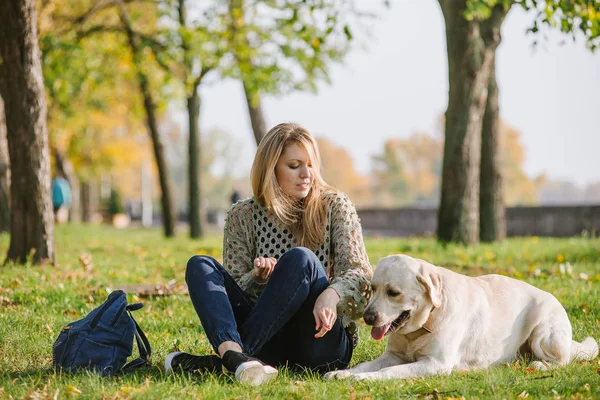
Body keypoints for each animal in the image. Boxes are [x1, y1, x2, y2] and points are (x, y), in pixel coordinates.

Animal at [326, 253, 596, 382]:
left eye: (393, 292)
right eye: (372, 289)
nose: (369, 317)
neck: (424, 323)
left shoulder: (435, 364)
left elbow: (389, 372)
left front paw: (362, 379)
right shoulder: (393, 355)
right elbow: (365, 365)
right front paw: (344, 373)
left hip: (543, 333)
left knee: (563, 360)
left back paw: (540, 365)